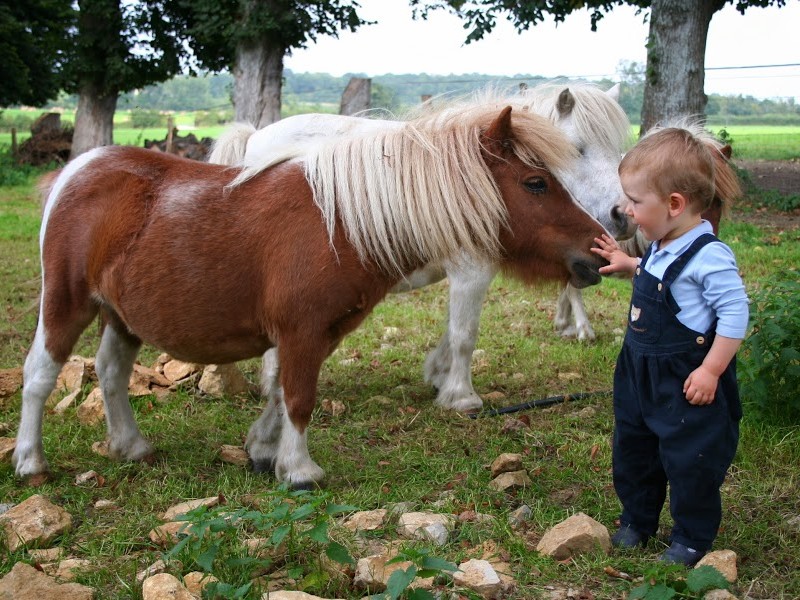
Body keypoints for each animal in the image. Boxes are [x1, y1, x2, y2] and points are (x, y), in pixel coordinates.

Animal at [14, 98, 609, 489]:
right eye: (536, 183)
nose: (599, 249)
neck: (340, 222)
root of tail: (75, 170)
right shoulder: (301, 330)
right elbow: (299, 396)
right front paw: (299, 470)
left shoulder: (315, 332)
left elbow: (281, 391)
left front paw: (262, 449)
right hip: (66, 303)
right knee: (40, 374)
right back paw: (30, 461)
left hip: (121, 315)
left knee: (111, 372)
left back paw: (131, 446)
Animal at [208, 82, 632, 412]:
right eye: (576, 149)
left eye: (618, 150)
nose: (622, 215)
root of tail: (254, 136)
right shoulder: (471, 270)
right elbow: (465, 333)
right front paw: (461, 396)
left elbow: (454, 328)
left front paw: (438, 376)